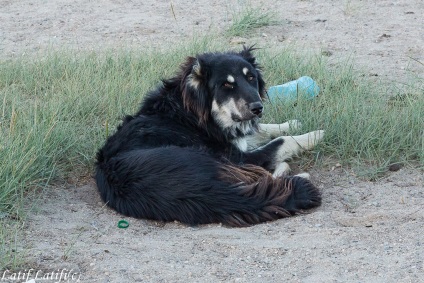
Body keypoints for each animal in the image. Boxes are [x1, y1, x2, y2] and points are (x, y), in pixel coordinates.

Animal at [94, 47, 322, 229]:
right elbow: (282, 141)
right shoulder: (240, 157)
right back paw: (294, 174)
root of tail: (196, 191)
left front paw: (292, 123)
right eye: (227, 85)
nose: (258, 108)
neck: (190, 111)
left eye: (251, 78)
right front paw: (313, 135)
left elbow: (260, 131)